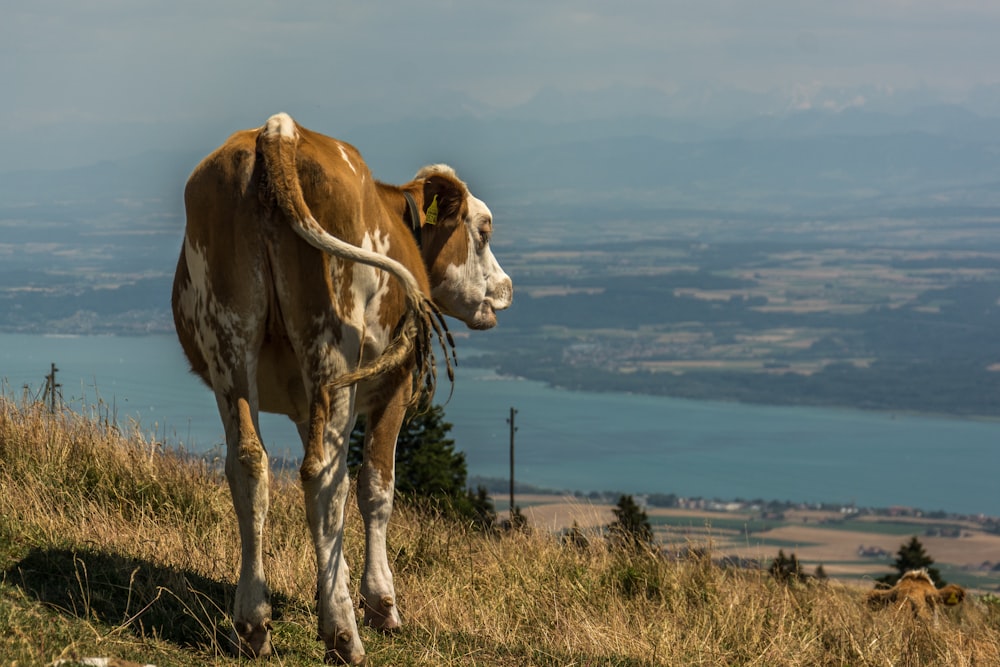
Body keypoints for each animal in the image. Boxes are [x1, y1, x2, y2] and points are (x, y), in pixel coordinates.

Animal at [171, 113, 512, 664]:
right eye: (483, 230)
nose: (506, 288)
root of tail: (278, 131)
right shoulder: (395, 385)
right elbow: (375, 485)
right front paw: (379, 603)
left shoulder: (302, 401)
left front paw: (333, 584)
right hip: (329, 340)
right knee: (323, 476)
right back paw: (343, 634)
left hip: (230, 341)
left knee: (249, 465)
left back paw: (253, 623)